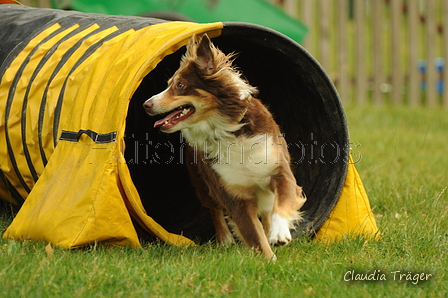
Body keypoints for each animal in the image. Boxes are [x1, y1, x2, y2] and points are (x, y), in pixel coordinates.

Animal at [145, 33, 306, 260]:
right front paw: (270, 260)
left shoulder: (279, 171)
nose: (146, 105)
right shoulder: (233, 196)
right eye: (170, 84)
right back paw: (225, 239)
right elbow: (255, 236)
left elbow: (281, 204)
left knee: (266, 210)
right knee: (214, 209)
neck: (225, 132)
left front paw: (279, 233)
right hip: (202, 183)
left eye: (180, 85)